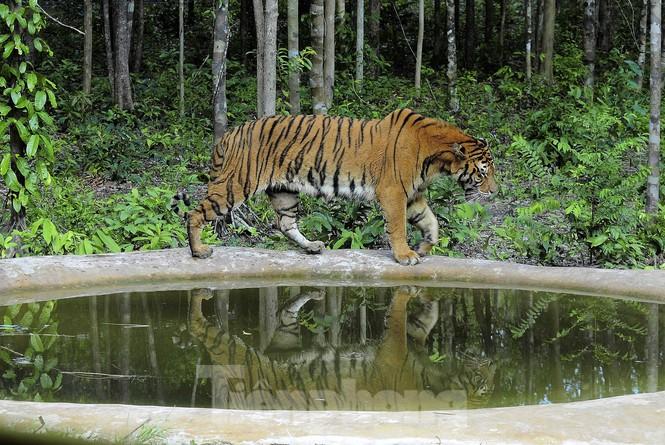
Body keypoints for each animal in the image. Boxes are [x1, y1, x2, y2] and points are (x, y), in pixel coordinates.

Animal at [174, 108, 496, 264]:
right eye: (482, 172)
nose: (494, 192)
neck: (437, 160)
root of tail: (229, 134)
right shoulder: (394, 192)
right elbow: (398, 227)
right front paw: (405, 256)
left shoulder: (413, 195)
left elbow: (431, 222)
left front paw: (425, 247)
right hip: (235, 185)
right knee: (195, 213)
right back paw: (198, 251)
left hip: (284, 192)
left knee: (285, 224)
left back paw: (312, 247)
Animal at [185, 286, 492, 412]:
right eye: (483, 377)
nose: (490, 361)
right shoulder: (406, 340)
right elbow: (422, 314)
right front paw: (424, 291)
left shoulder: (398, 345)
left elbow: (405, 316)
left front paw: (415, 292)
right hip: (267, 346)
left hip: (253, 352)